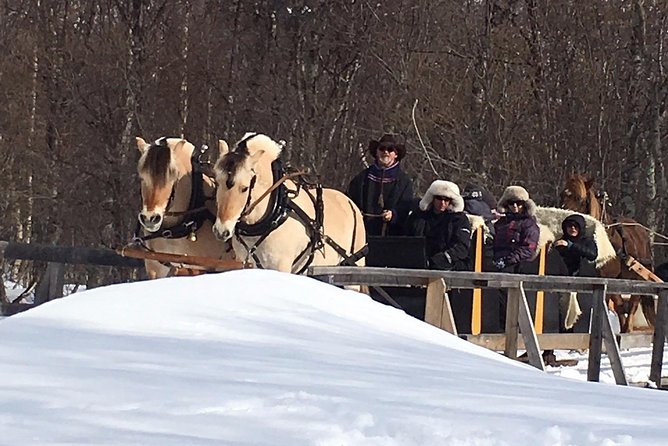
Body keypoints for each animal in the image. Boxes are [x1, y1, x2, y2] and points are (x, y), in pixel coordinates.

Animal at [560, 173, 656, 332]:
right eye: (562, 194)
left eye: (579, 198)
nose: (567, 222)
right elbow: (616, 303)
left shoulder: (608, 276)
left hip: (637, 277)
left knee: (633, 303)